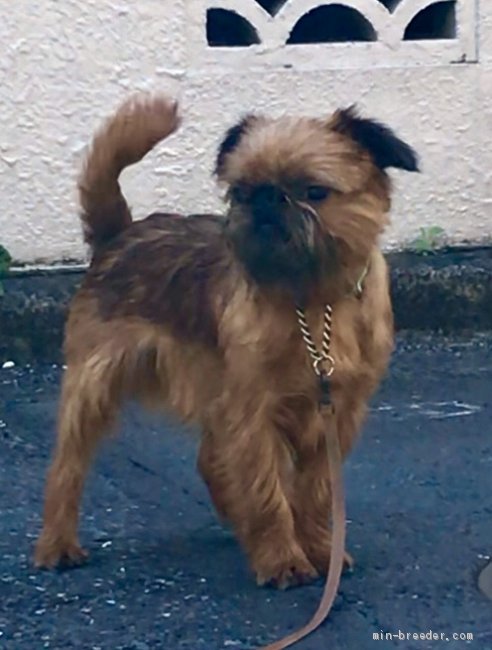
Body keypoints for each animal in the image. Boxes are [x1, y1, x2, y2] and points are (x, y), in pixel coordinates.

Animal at [34, 93, 418, 591]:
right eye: (240, 190)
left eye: (314, 191)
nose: (266, 199)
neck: (312, 300)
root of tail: (119, 234)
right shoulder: (254, 411)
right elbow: (266, 489)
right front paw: (282, 559)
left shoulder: (337, 411)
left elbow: (315, 491)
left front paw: (318, 548)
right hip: (94, 383)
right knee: (68, 466)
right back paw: (57, 544)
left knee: (209, 459)